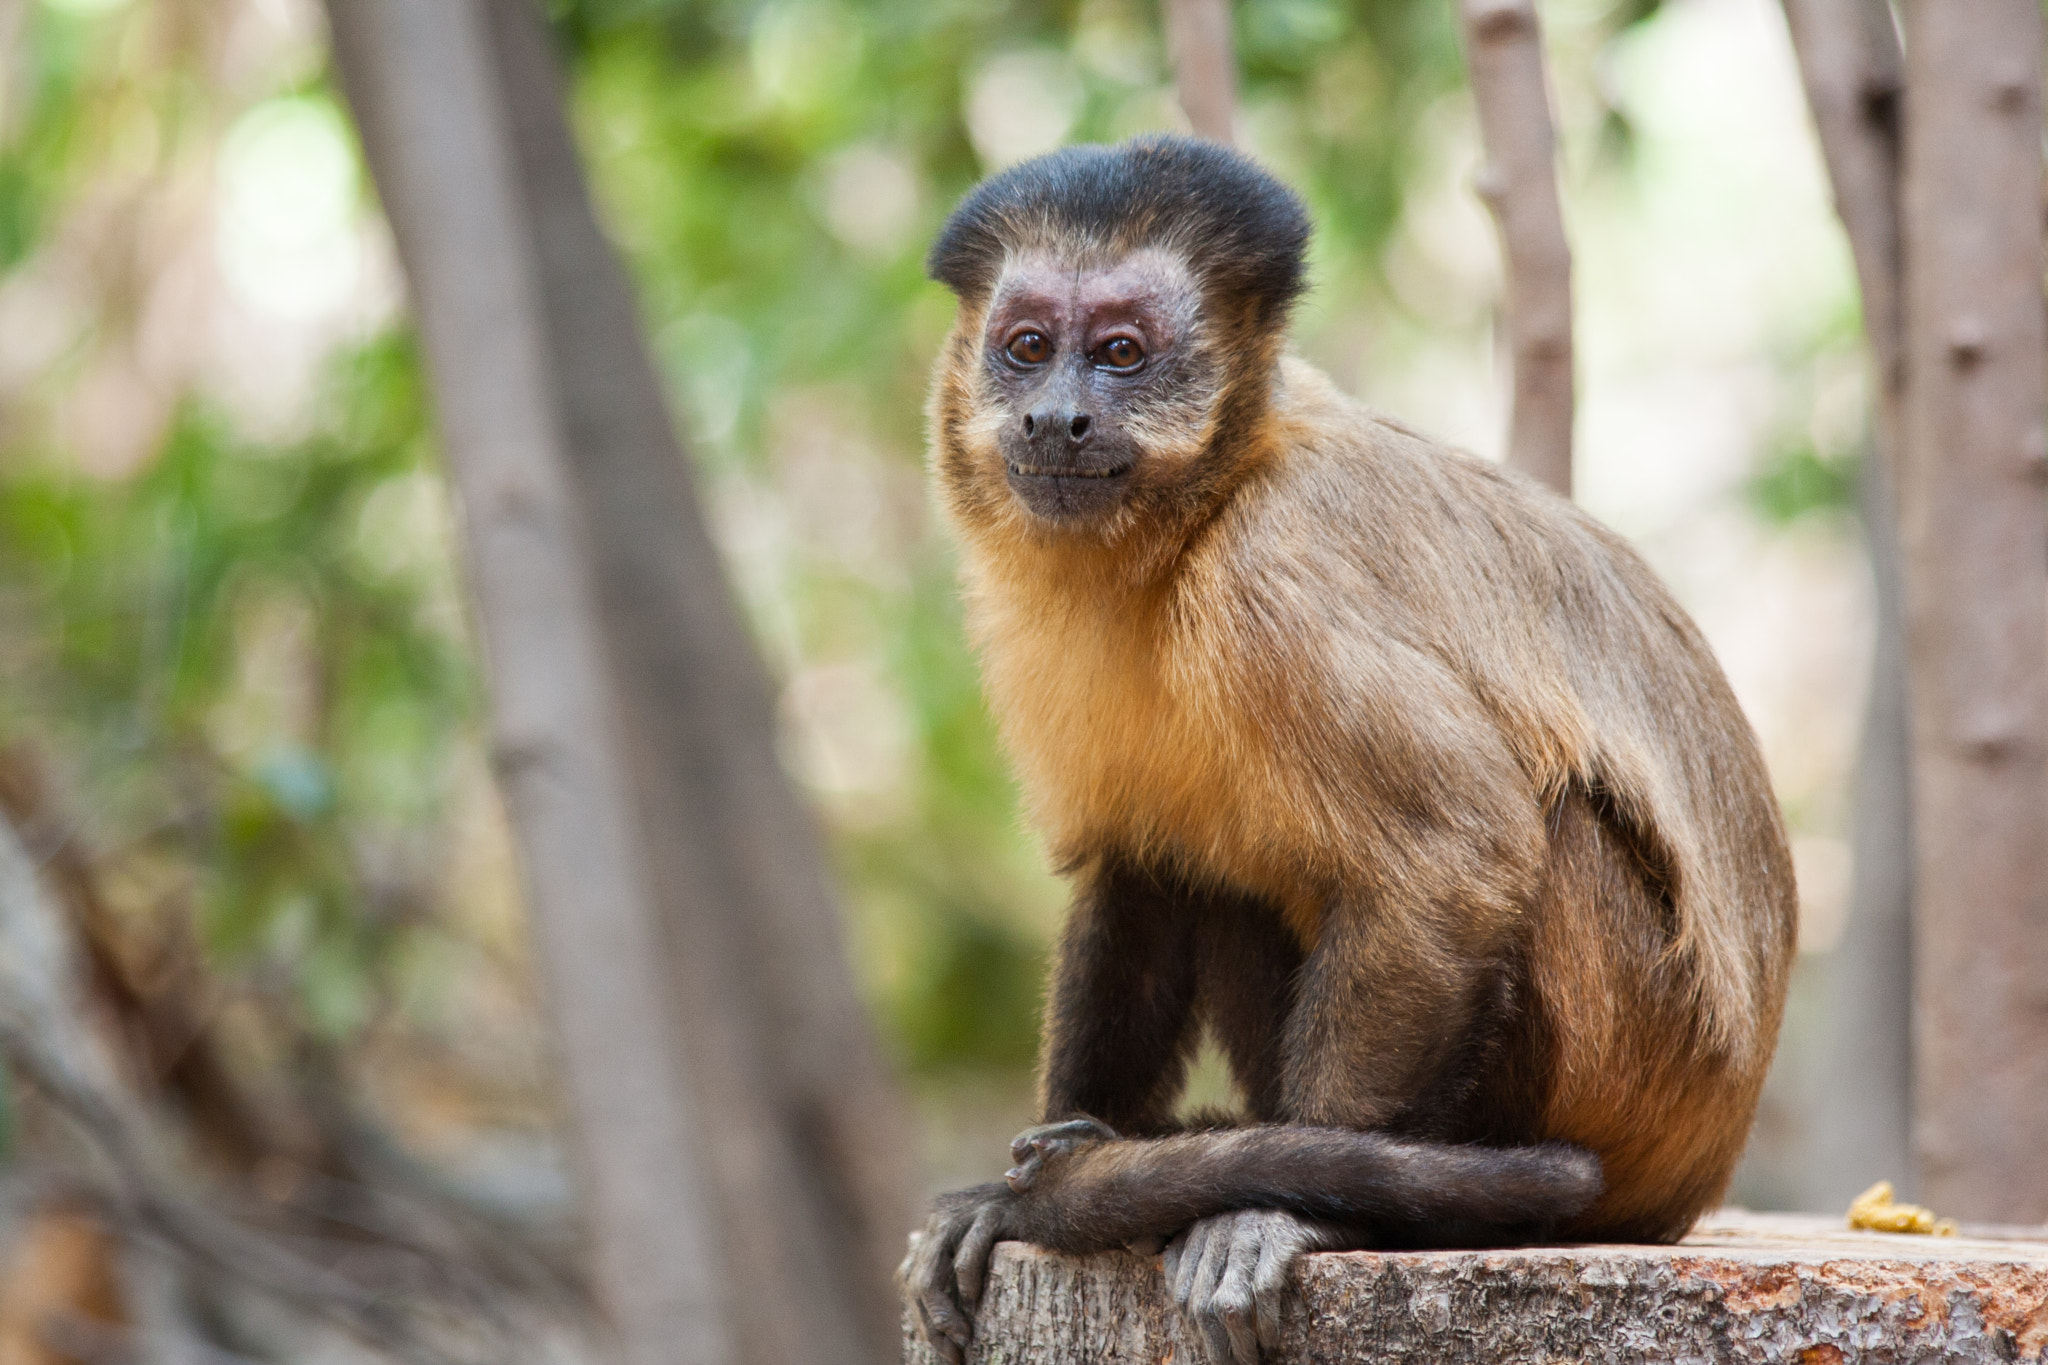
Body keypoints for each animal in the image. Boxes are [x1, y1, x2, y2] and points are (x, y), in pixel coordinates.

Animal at [900, 135, 1796, 1365]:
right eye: (1028, 348)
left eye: (1121, 355)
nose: (1056, 418)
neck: (1202, 510)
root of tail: (1700, 1170)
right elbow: (1137, 867)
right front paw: (1033, 1184)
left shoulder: (1270, 581)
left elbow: (1452, 856)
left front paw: (1290, 1209)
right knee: (1211, 864)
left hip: (1625, 1079)